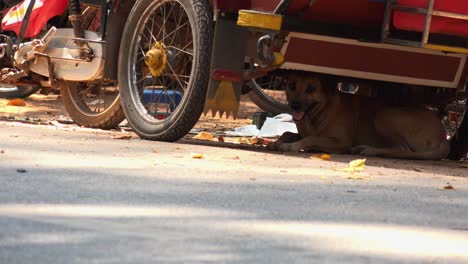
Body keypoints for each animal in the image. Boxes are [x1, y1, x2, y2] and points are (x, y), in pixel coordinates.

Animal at [268, 74, 452, 161]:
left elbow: (310, 138)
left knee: (402, 149)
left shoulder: (341, 141)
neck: (320, 111)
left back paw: (368, 149)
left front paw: (292, 146)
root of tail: (444, 135)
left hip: (384, 115)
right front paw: (278, 142)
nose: (295, 105)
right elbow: (287, 133)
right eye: (292, 86)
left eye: (311, 89)